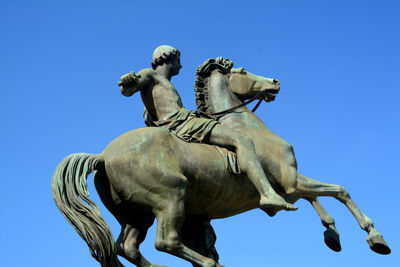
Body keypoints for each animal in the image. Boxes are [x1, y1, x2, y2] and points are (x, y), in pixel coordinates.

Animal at [50, 57, 390, 266]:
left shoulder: (292, 184)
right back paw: (209, 262)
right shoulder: (292, 181)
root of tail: (103, 156)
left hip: (136, 215)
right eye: (243, 71)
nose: (275, 82)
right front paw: (375, 237)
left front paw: (332, 235)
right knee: (166, 242)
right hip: (171, 198)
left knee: (128, 247)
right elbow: (339, 190)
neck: (245, 126)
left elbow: (319, 199)